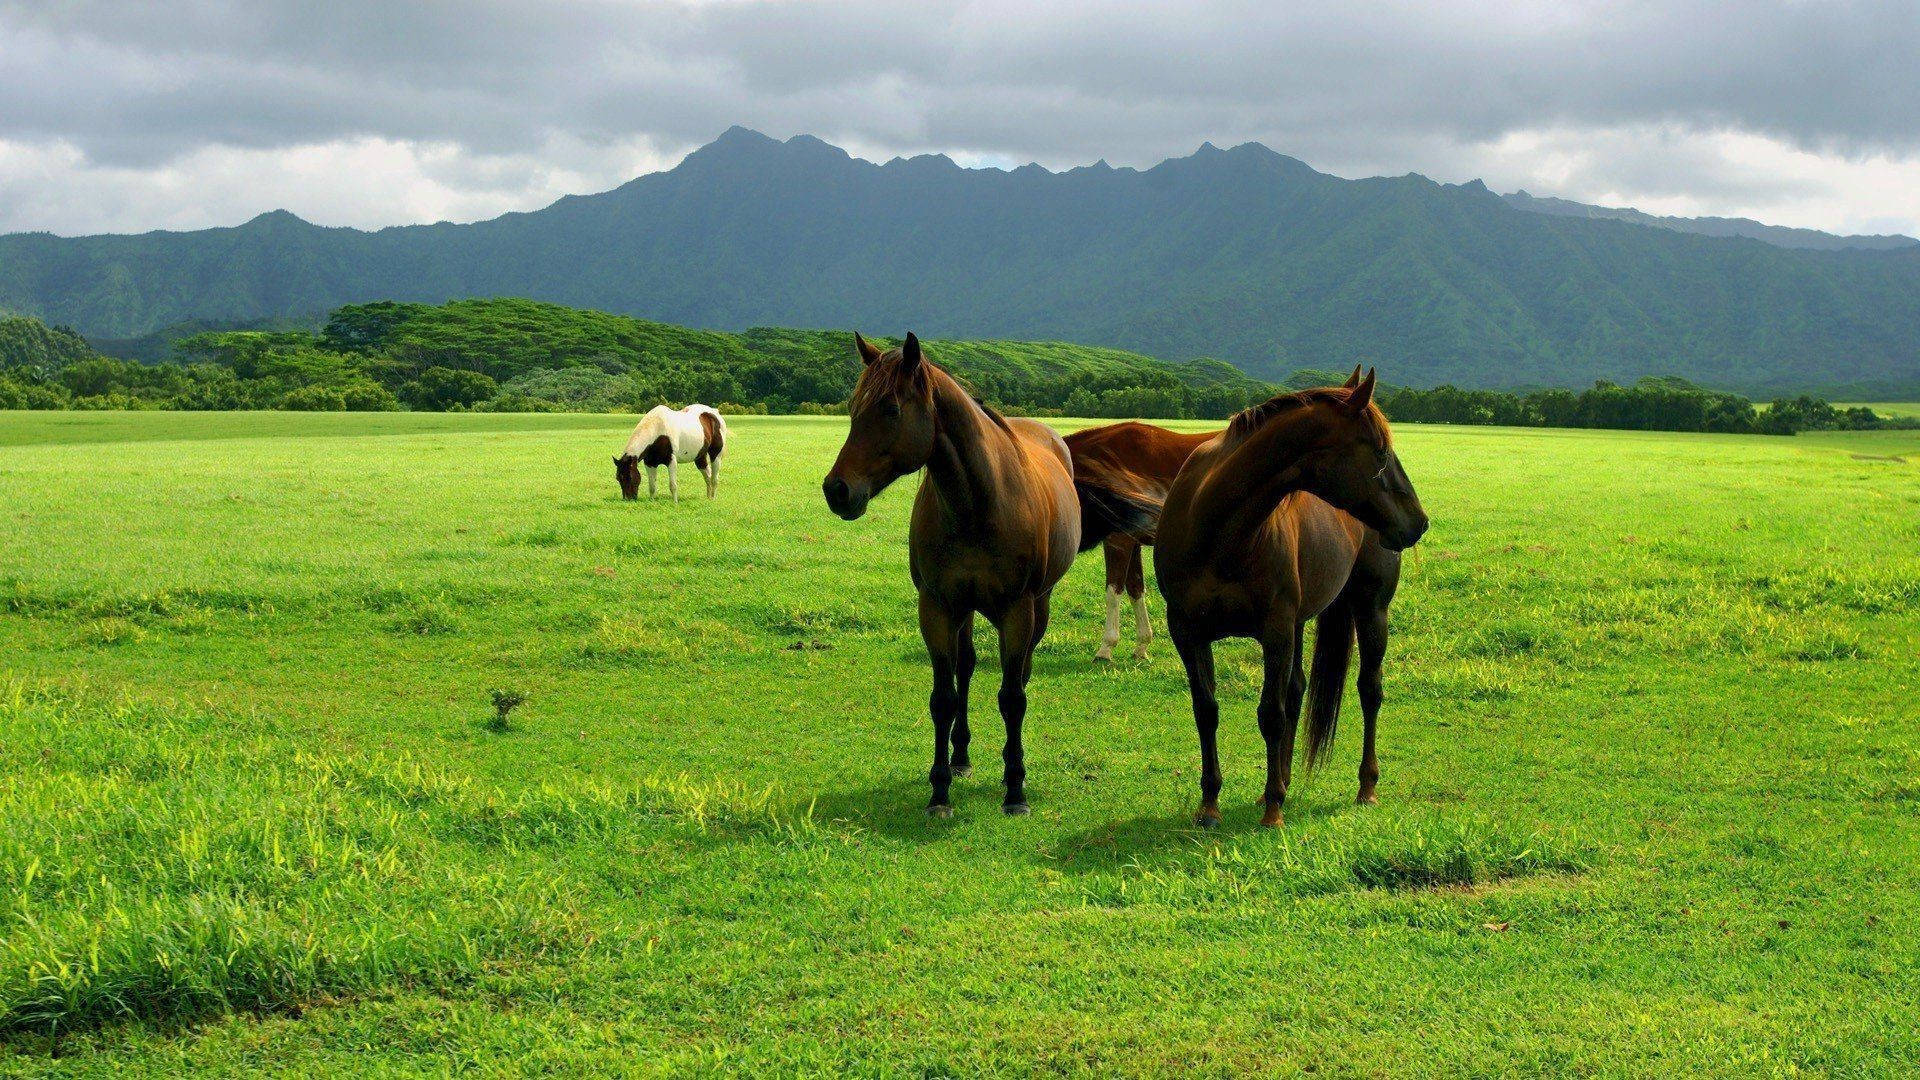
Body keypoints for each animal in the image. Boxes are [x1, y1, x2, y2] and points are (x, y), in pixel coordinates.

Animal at [825, 332, 1121, 810]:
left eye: (890, 409)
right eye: (853, 408)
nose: (837, 490)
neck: (978, 505)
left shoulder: (1018, 611)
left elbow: (1013, 696)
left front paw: (1015, 786)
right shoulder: (938, 607)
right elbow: (943, 697)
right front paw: (939, 789)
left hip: (1038, 606)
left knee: (1021, 674)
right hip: (964, 611)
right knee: (965, 668)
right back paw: (961, 755)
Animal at [1067, 418, 1213, 657]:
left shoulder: (1118, 541)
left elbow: (1113, 591)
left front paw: (1106, 647)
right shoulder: (1132, 541)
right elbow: (1135, 589)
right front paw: (1142, 645)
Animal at [1152, 365, 1428, 826]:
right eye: (1380, 450)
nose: (1419, 522)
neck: (1217, 530)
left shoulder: (1275, 629)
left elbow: (1271, 713)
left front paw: (1273, 811)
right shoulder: (1187, 632)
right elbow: (1206, 710)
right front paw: (1210, 803)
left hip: (1371, 610)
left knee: (1369, 691)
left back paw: (1363, 786)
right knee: (1297, 689)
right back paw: (1277, 782)